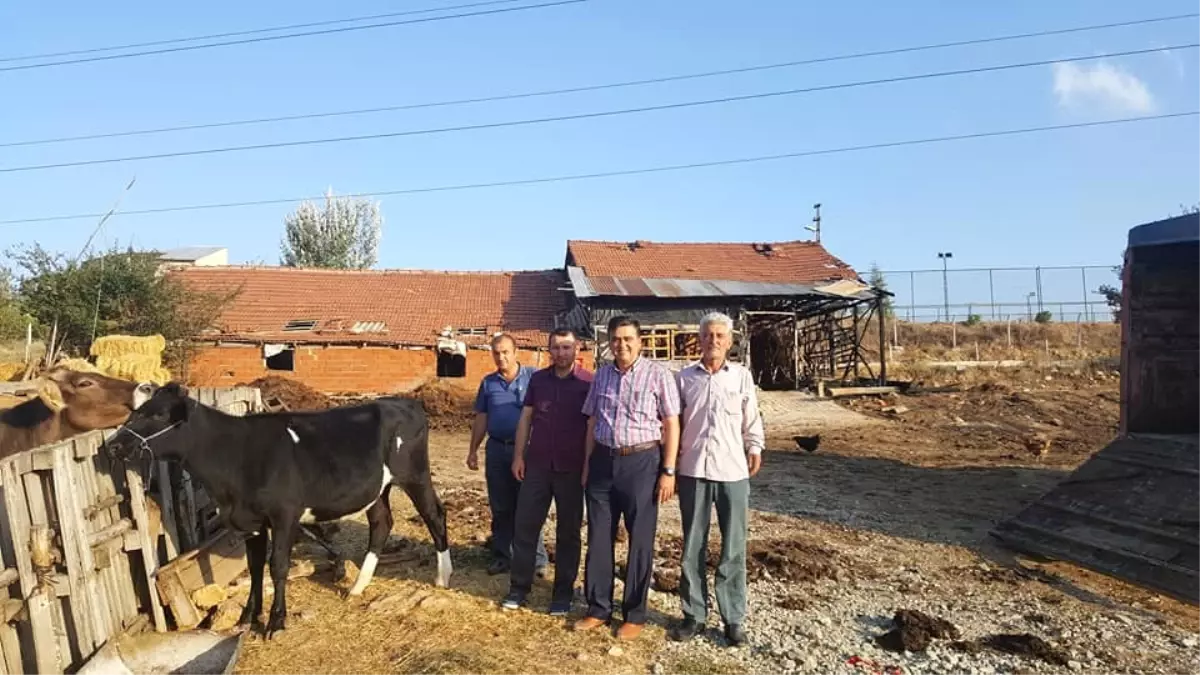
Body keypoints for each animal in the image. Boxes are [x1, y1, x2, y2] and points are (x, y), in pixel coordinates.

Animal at [106, 384, 451, 634]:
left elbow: (278, 566)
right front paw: (247, 616)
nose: (113, 445)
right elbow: (256, 567)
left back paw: (442, 578)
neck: (235, 455)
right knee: (382, 522)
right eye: (137, 411)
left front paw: (276, 621)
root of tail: (403, 403)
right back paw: (357, 586)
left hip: (414, 474)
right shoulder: (249, 520)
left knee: (435, 515)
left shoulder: (284, 514)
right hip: (376, 487)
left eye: (159, 415)